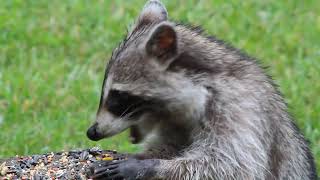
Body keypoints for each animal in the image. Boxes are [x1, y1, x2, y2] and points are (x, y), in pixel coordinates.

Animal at [86, 0, 316, 179]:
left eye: (118, 96)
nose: (92, 132)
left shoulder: (237, 110)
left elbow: (231, 166)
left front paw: (150, 166)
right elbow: (170, 145)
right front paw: (146, 156)